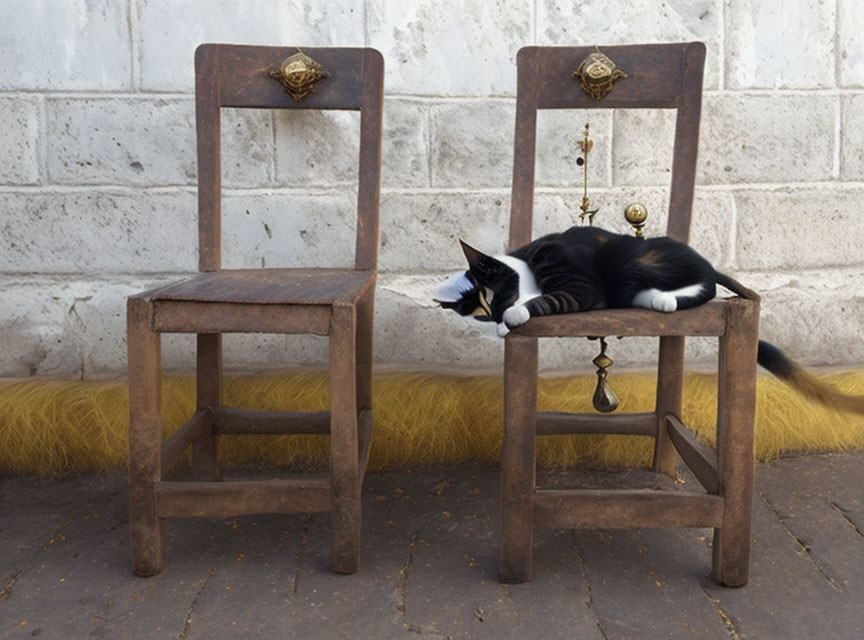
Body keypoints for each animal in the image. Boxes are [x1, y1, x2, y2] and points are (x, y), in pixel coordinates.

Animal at [436, 225, 864, 416]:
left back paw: (667, 299)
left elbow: (550, 299)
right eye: (479, 314)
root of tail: (705, 260)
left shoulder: (581, 287)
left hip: (635, 262)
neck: (526, 263)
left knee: (705, 287)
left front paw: (516, 313)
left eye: (492, 296)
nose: (494, 318)